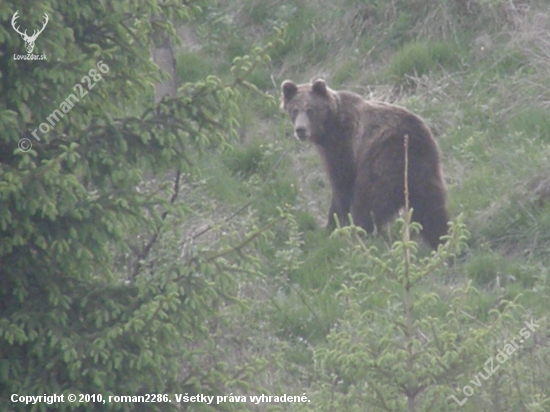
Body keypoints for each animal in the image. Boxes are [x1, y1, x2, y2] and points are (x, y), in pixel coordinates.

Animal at [282, 78, 450, 249]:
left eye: (310, 109)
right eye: (294, 110)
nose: (300, 129)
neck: (329, 127)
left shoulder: (342, 147)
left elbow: (341, 184)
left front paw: (333, 226)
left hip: (380, 161)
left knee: (367, 203)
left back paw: (361, 236)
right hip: (426, 169)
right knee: (432, 209)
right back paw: (442, 241)